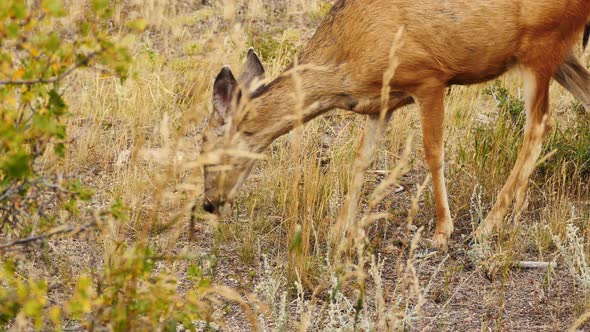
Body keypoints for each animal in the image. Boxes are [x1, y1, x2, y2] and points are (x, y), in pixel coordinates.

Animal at [200, 0, 590, 249]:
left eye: (205, 149)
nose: (208, 204)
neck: (349, 58)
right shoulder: (381, 104)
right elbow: (361, 160)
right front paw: (339, 229)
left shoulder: (428, 77)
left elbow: (433, 152)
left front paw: (442, 231)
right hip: (560, 54)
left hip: (540, 46)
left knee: (540, 125)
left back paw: (487, 226)